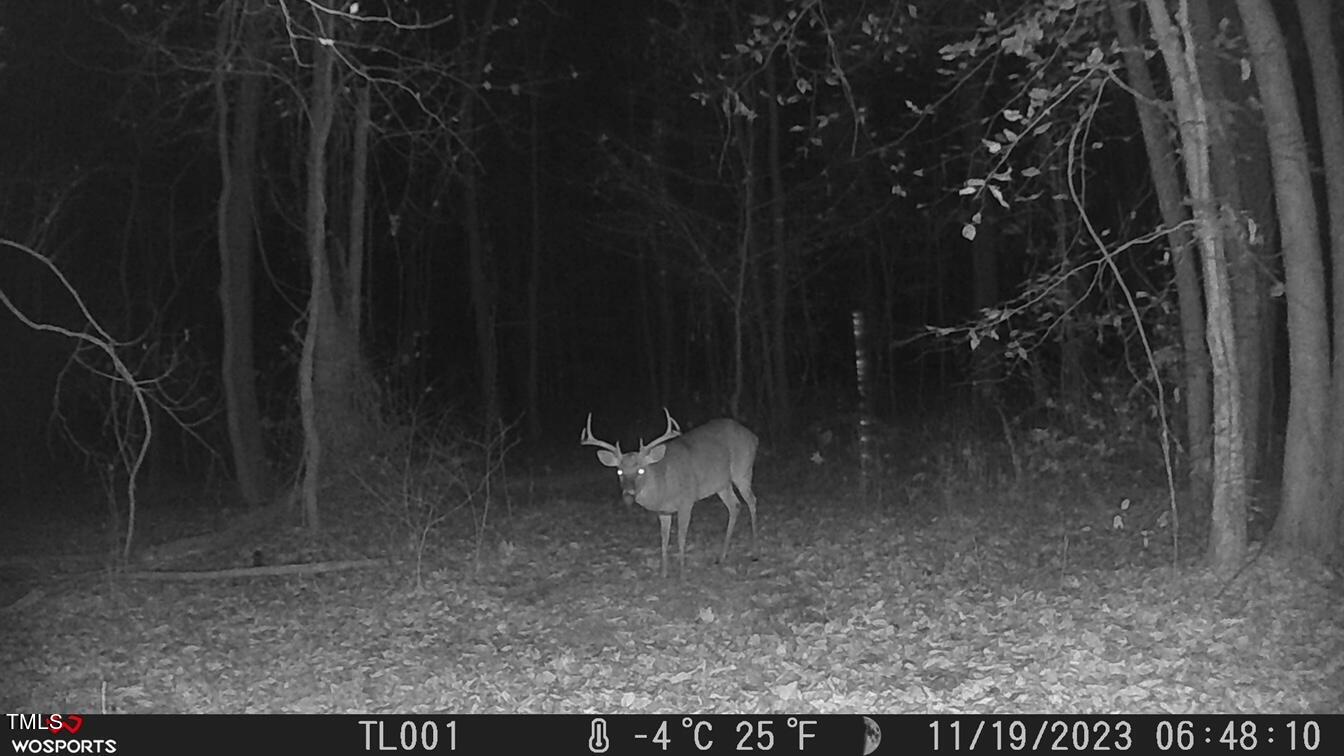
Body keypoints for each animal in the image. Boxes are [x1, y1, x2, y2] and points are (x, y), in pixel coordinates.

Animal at [580, 408, 759, 578]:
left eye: (641, 470)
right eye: (619, 471)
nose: (628, 494)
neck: (664, 486)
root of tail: (753, 436)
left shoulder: (686, 501)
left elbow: (681, 537)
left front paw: (682, 573)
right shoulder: (663, 511)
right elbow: (664, 539)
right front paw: (663, 573)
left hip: (742, 471)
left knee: (752, 500)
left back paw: (755, 552)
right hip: (722, 484)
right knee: (735, 505)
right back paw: (721, 557)